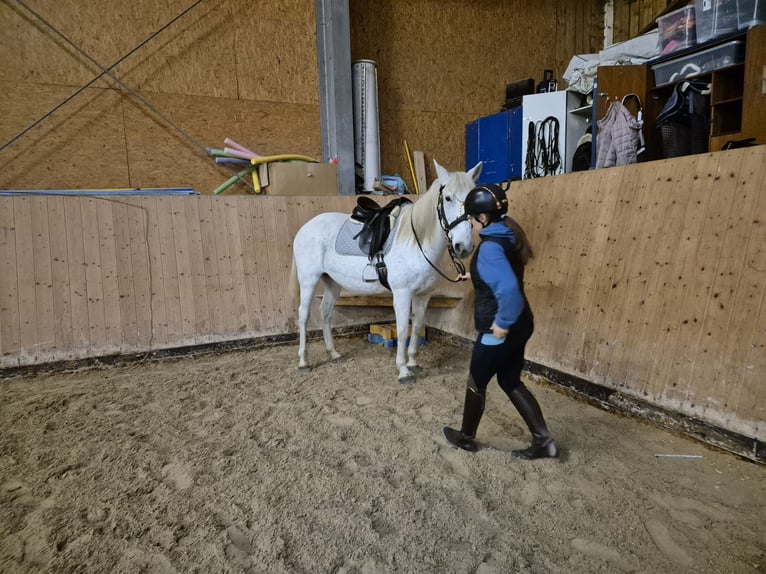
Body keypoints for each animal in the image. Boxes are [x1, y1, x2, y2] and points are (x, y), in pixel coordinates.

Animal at [292, 162, 480, 384]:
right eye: (448, 198)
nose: (464, 247)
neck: (417, 242)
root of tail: (305, 227)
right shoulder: (402, 294)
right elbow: (402, 329)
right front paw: (403, 371)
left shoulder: (423, 296)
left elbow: (417, 326)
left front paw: (413, 362)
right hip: (309, 280)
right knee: (303, 315)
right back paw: (303, 362)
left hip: (332, 282)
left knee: (326, 313)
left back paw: (334, 354)